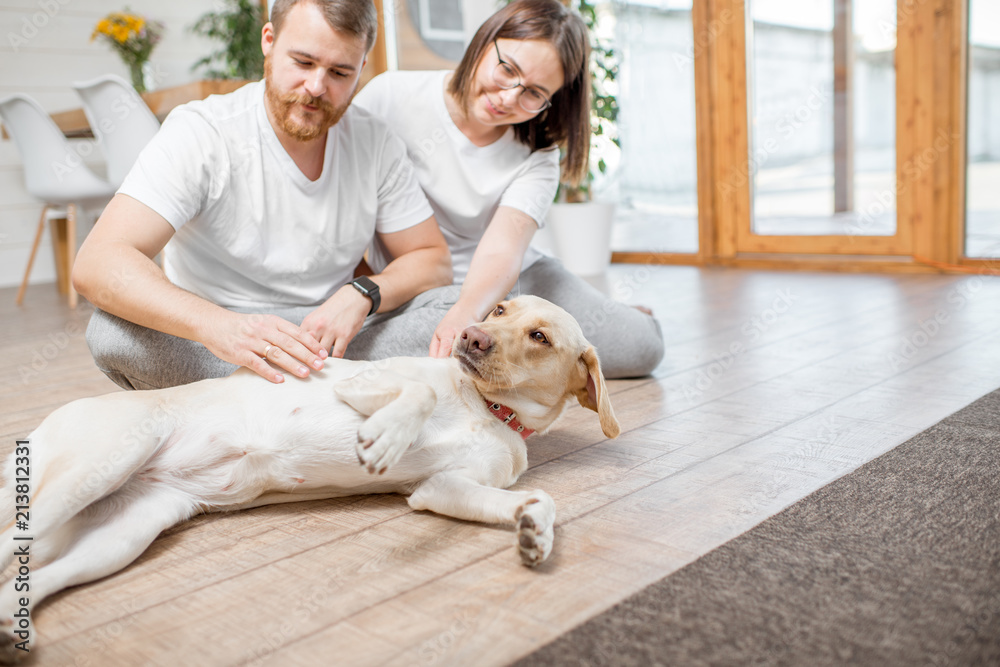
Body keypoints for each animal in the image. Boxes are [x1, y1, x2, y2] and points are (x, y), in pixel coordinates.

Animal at [0, 294, 616, 660]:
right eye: (499, 311)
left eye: (540, 337)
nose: (469, 336)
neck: (487, 408)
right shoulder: (360, 386)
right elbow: (416, 392)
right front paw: (388, 435)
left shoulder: (439, 489)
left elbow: (538, 500)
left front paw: (535, 530)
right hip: (95, 468)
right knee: (10, 543)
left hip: (118, 535)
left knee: (25, 583)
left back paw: (11, 627)